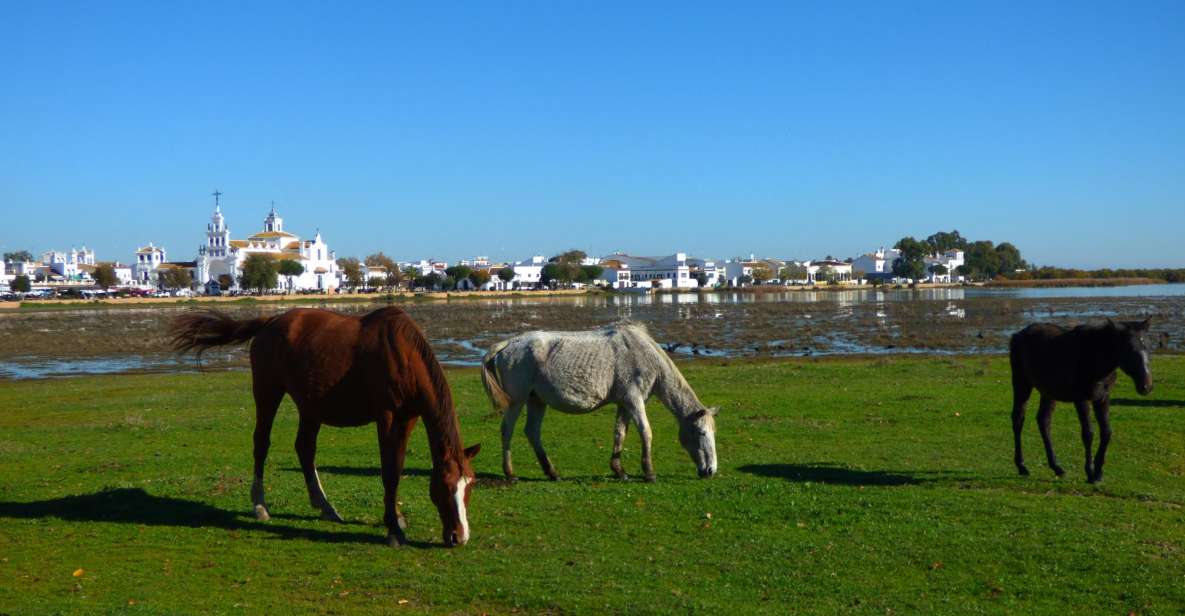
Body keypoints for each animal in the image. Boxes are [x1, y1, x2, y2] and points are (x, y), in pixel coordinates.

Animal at [168, 305, 481, 547]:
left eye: (470, 485)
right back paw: (260, 505)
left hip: (310, 407)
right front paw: (393, 529)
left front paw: (396, 516)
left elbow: (398, 467)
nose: (459, 537)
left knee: (305, 448)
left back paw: (325, 506)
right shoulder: (387, 416)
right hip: (268, 392)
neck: (403, 353)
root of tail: (270, 321)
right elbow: (389, 471)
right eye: (445, 485)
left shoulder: (408, 418)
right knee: (261, 444)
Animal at [478, 322, 715, 480]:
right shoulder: (634, 401)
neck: (644, 354)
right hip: (517, 401)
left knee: (532, 432)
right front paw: (649, 472)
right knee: (507, 430)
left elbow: (620, 433)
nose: (711, 470)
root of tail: (508, 343)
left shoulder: (624, 403)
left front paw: (619, 470)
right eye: (701, 433)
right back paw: (510, 473)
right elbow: (646, 432)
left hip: (536, 401)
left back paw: (552, 472)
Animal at [1009, 319, 1147, 483]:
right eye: (1129, 350)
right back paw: (1021, 466)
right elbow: (1088, 434)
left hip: (1048, 391)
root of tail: (1017, 335)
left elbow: (1106, 432)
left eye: (1146, 348)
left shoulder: (1102, 398)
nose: (1146, 385)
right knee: (1018, 418)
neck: (1096, 361)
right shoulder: (1081, 399)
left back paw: (1057, 467)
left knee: (1043, 420)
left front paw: (1099, 472)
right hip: (1021, 383)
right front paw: (1090, 472)